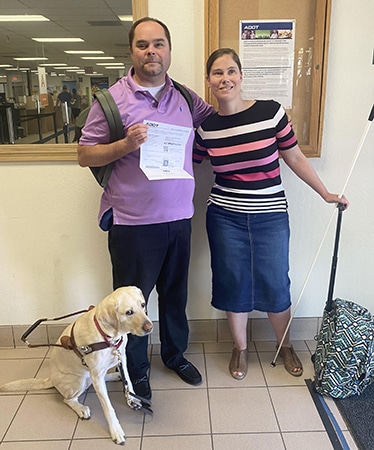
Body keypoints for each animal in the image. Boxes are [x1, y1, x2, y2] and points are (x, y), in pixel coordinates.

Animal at [0, 286, 153, 444]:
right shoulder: (98, 372)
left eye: (143, 305)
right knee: (68, 399)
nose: (150, 327)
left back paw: (114, 376)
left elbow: (128, 381)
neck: (107, 334)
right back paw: (81, 409)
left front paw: (132, 398)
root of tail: (51, 379)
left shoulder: (122, 357)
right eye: (129, 312)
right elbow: (108, 408)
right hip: (79, 382)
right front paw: (116, 431)